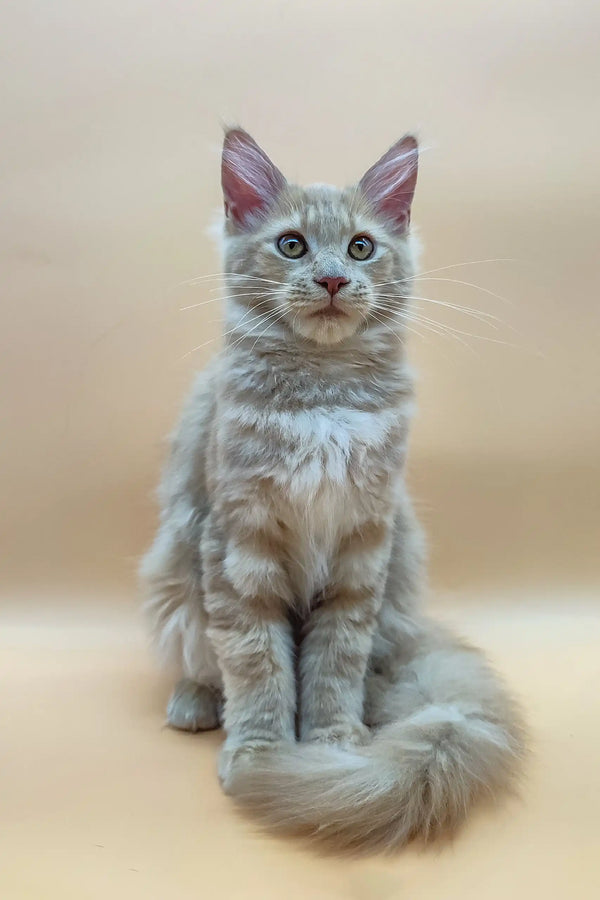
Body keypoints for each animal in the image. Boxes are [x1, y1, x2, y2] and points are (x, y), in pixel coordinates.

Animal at [141, 126, 524, 852]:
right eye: (292, 245)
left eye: (360, 247)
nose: (332, 278)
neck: (324, 397)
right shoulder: (239, 546)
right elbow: (258, 666)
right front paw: (261, 753)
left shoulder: (362, 546)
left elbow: (333, 665)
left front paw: (332, 746)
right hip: (173, 578)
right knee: (206, 662)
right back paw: (196, 704)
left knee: (372, 670)